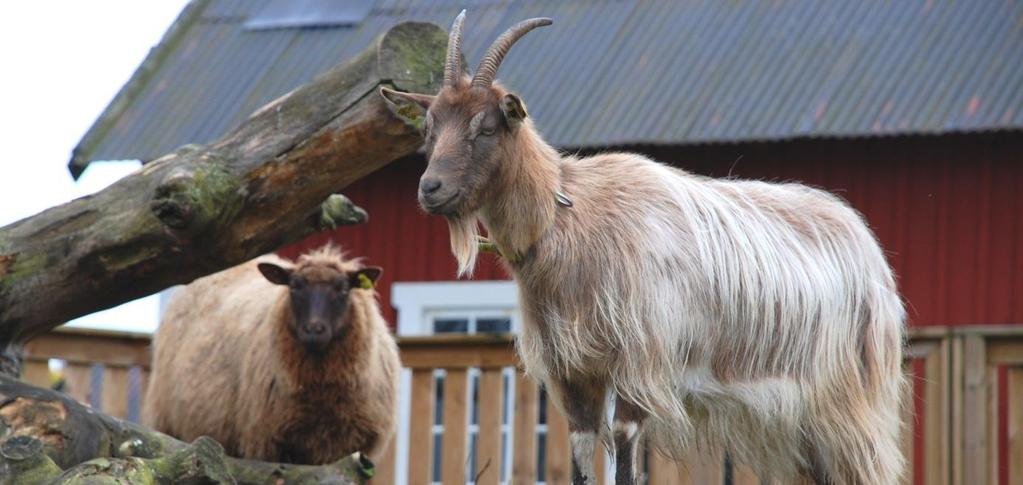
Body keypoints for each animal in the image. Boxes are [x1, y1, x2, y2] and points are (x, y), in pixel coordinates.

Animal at [382, 11, 904, 484]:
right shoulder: (574, 374)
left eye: (486, 127)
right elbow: (581, 460)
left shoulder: (638, 365)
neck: (570, 216)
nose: (430, 189)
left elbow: (626, 459)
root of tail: (868, 250)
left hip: (845, 402)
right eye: (429, 129)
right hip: (796, 424)